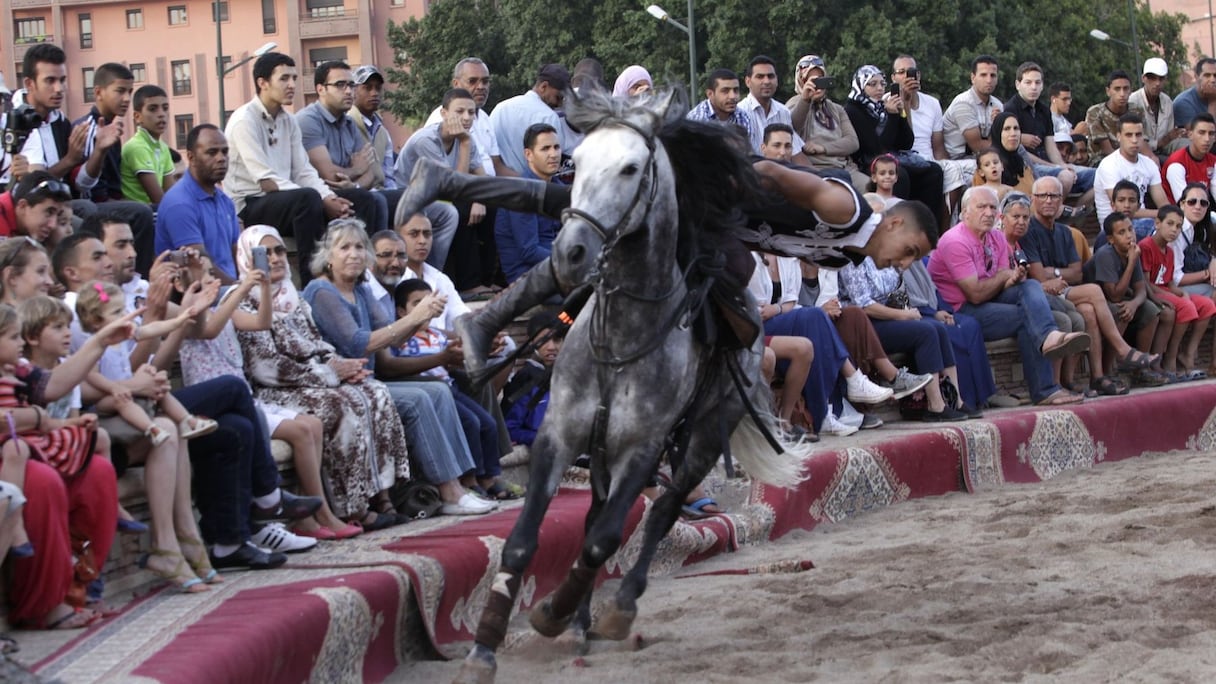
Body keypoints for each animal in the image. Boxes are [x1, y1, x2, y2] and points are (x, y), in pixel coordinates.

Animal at [449, 90, 807, 681]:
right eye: (575, 162)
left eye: (631, 167)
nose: (569, 252)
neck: (619, 337)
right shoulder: (561, 433)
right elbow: (524, 542)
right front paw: (484, 646)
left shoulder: (643, 446)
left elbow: (604, 540)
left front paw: (552, 612)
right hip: (603, 452)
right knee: (599, 512)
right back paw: (581, 621)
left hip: (699, 438)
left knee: (660, 512)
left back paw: (614, 608)